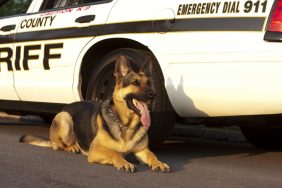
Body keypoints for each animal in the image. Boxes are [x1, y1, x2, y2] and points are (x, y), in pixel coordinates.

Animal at [20, 54, 170, 173]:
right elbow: (114, 152)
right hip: (65, 118)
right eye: (135, 83)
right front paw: (124, 162)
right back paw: (72, 147)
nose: (153, 94)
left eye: (148, 83)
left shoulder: (142, 151)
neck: (125, 125)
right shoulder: (95, 149)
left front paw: (159, 163)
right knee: (60, 145)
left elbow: (152, 155)